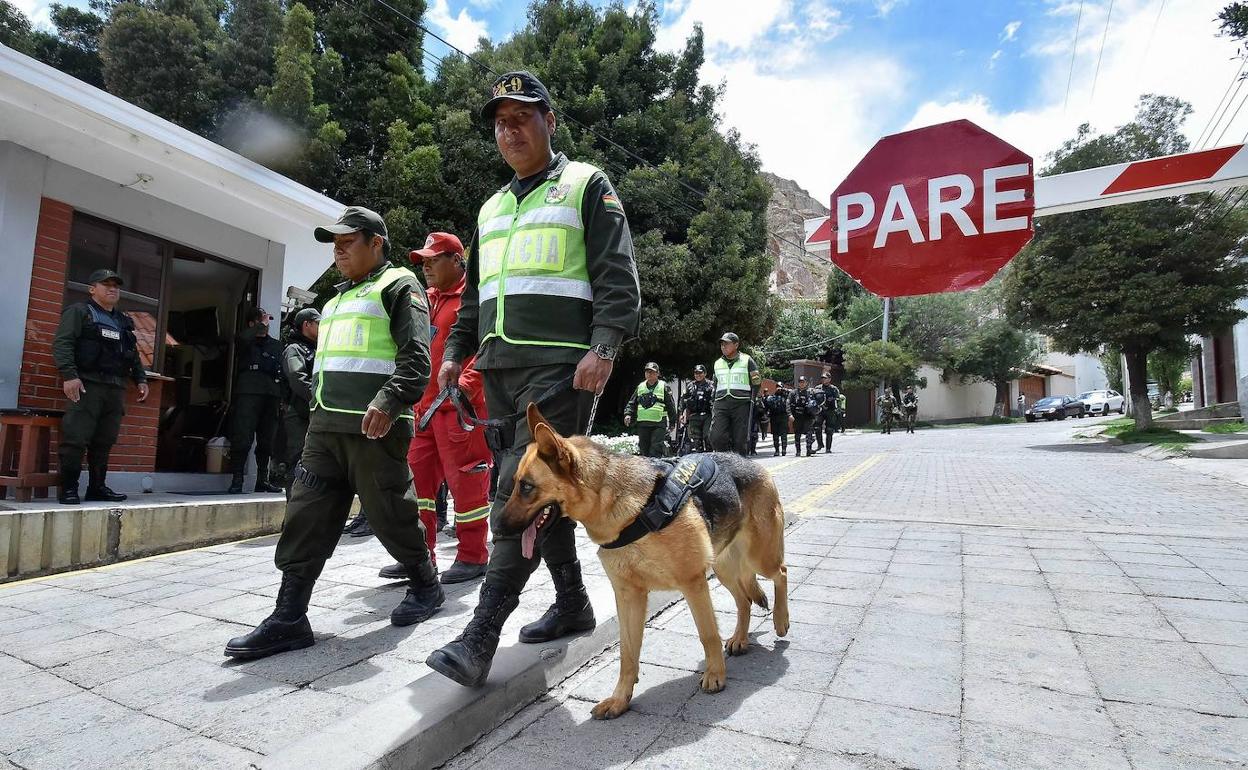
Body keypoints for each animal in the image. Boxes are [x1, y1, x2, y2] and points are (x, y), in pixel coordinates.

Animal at [499, 404, 783, 718]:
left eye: (526, 487)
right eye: (516, 485)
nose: (496, 528)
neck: (625, 511)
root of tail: (751, 462)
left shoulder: (693, 584)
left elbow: (707, 634)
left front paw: (715, 675)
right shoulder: (628, 596)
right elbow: (628, 651)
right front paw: (620, 699)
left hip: (760, 558)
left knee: (781, 573)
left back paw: (781, 621)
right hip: (724, 570)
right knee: (744, 600)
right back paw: (740, 638)